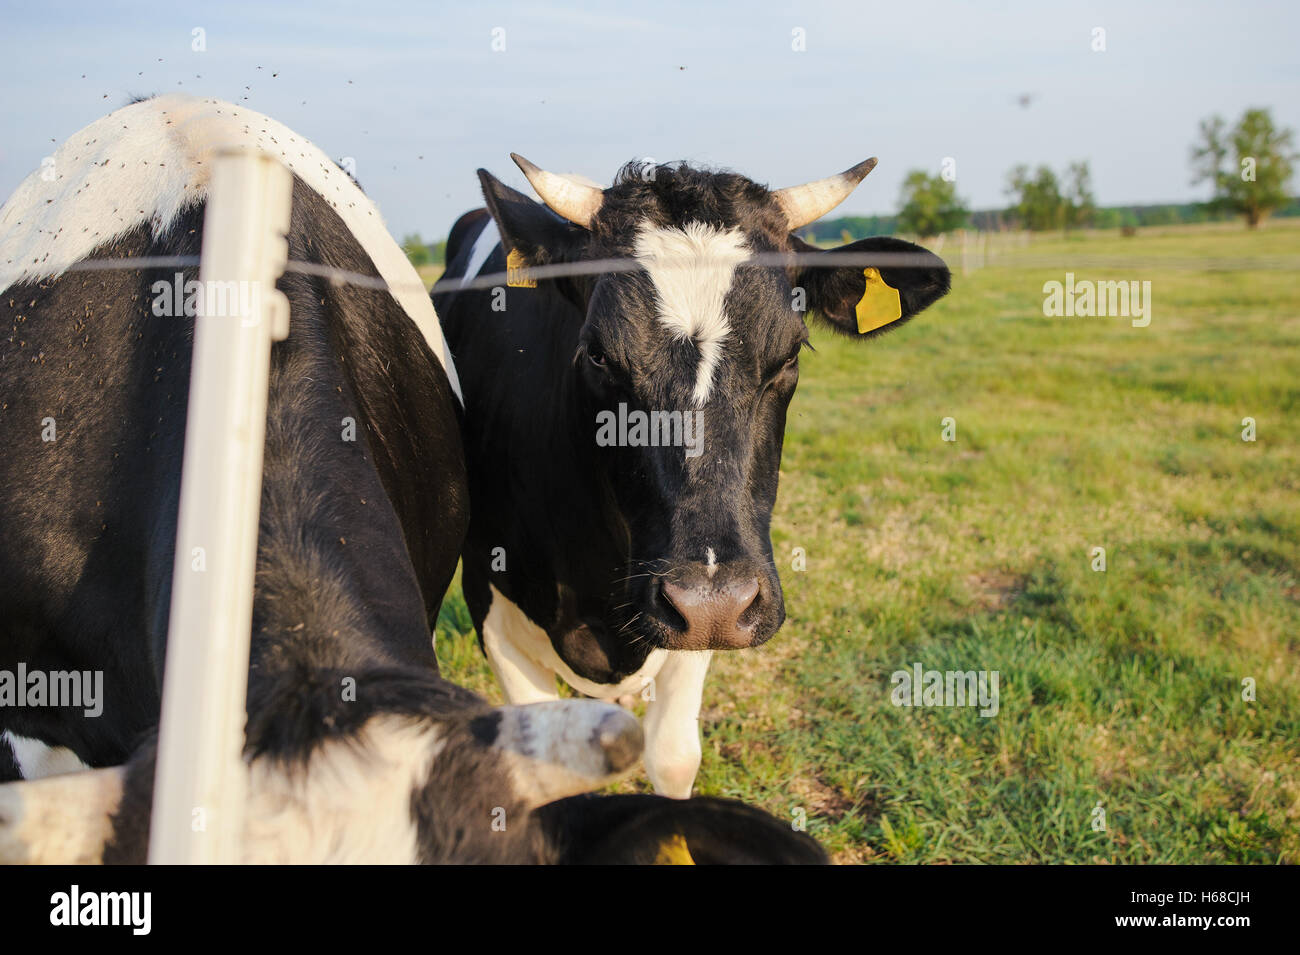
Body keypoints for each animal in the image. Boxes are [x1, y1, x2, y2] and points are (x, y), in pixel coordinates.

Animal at [433, 155, 952, 797]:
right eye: (598, 353)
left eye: (790, 353)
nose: (712, 602)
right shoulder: (491, 601)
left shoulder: (704, 622)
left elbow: (674, 756)